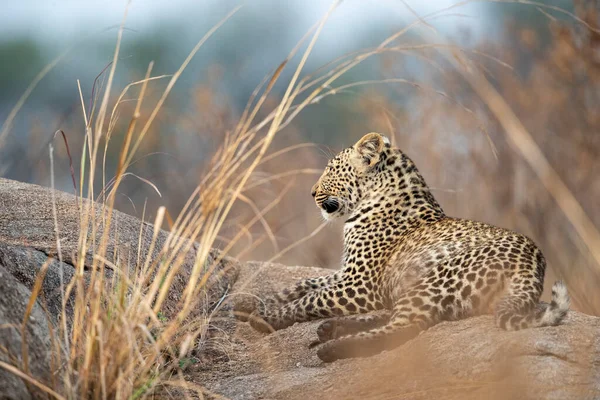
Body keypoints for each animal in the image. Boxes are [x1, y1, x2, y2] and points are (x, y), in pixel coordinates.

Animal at [241, 131, 568, 362]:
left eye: (332, 170)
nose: (312, 193)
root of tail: (534, 262)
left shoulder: (360, 284)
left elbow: (311, 299)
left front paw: (266, 318)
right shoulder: (348, 274)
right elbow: (306, 283)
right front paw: (252, 301)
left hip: (438, 278)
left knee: (404, 326)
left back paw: (333, 346)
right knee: (395, 313)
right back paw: (331, 329)